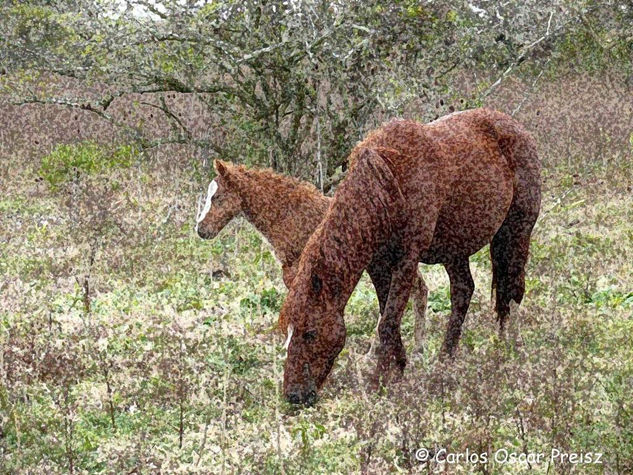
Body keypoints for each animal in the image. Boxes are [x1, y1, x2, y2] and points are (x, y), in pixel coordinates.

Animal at [282, 109, 544, 406]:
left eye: (310, 333)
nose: (294, 395)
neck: (389, 184)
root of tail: (516, 128)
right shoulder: (379, 266)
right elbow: (388, 317)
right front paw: (398, 369)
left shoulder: (407, 260)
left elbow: (388, 322)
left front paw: (378, 382)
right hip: (455, 250)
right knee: (464, 291)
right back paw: (446, 359)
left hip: (516, 233)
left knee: (512, 292)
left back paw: (510, 351)